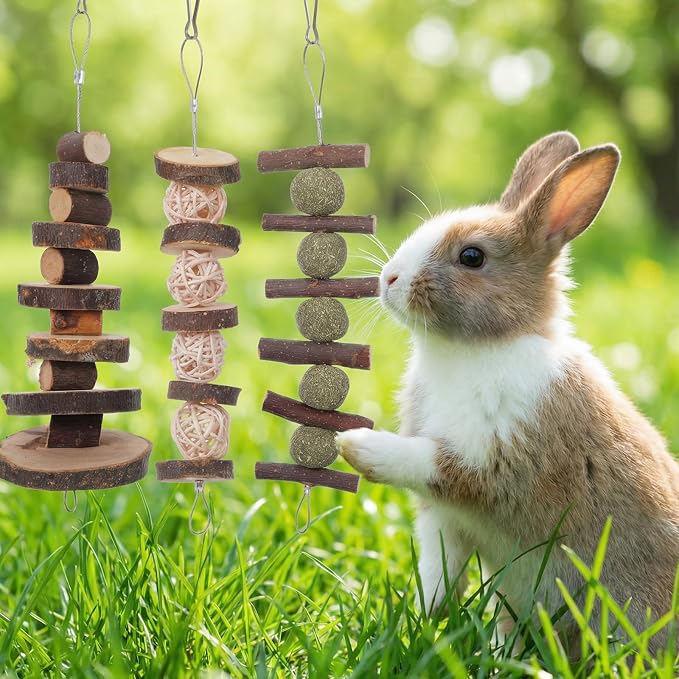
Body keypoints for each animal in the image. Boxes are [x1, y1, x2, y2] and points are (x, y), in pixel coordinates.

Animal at [336, 131, 679, 654]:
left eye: (472, 257)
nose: (388, 279)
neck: (479, 347)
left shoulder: (495, 459)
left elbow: (430, 462)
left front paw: (355, 445)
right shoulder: (444, 518)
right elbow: (439, 560)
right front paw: (428, 611)